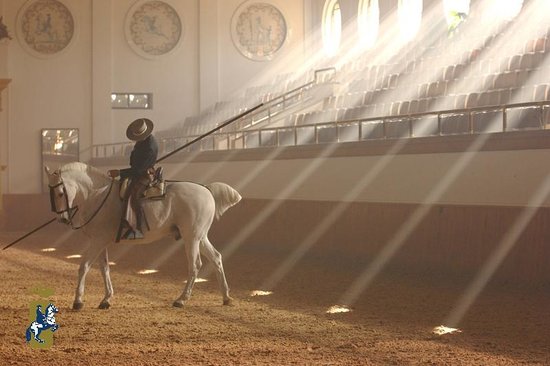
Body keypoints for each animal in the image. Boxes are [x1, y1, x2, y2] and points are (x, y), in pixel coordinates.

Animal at [43, 163, 242, 308]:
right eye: (50, 193)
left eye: (60, 193)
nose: (62, 219)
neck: (97, 195)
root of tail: (206, 189)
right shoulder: (101, 242)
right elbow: (104, 268)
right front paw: (106, 299)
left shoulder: (97, 242)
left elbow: (83, 266)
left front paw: (78, 301)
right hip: (200, 237)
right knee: (216, 258)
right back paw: (226, 297)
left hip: (191, 238)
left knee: (195, 265)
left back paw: (181, 299)